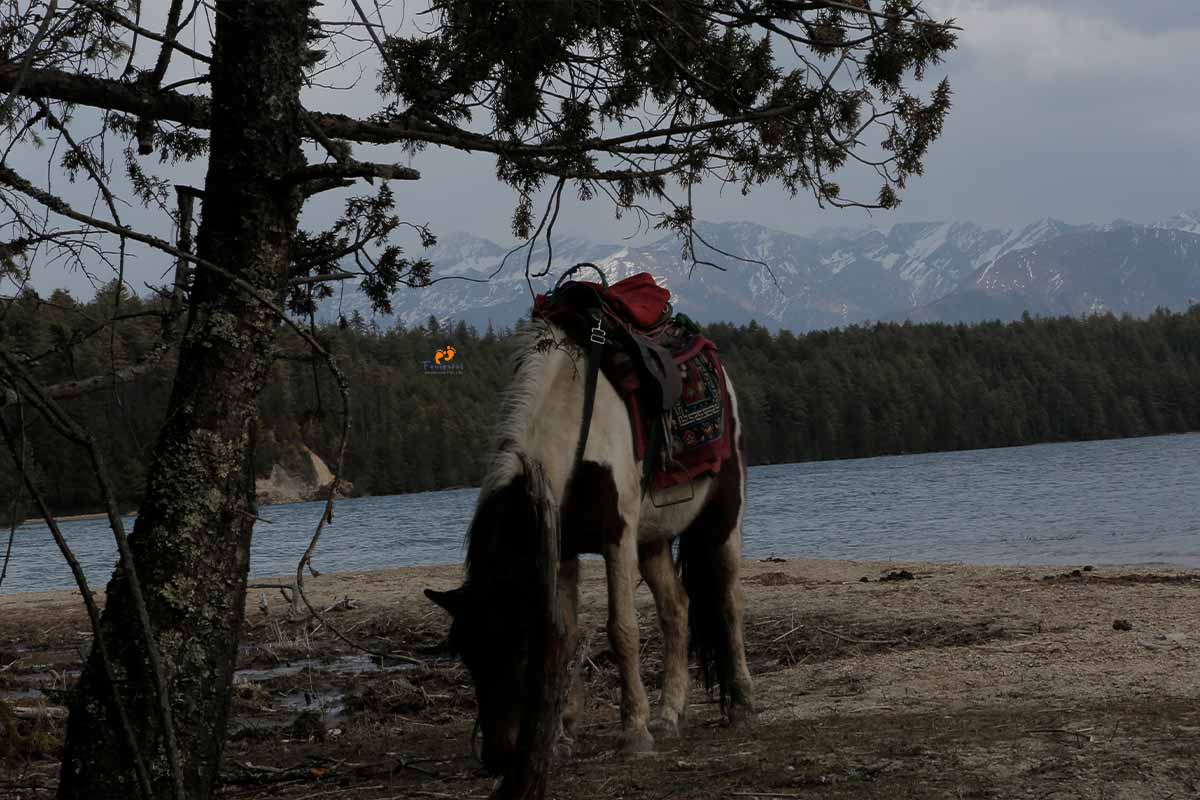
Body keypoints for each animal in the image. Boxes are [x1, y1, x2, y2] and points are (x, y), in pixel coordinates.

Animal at [427, 314, 753, 777]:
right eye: (469, 657)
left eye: (519, 648)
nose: (496, 758)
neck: (573, 425)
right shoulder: (562, 550)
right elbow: (566, 636)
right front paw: (561, 739)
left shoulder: (617, 539)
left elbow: (623, 630)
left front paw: (634, 733)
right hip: (653, 539)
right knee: (676, 610)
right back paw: (670, 714)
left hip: (723, 515)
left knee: (728, 600)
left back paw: (741, 704)